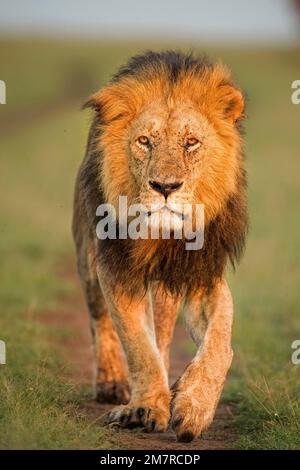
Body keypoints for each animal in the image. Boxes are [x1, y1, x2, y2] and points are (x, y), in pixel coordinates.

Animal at [72, 50, 246, 440]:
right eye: (144, 141)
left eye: (191, 142)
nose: (165, 187)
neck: (163, 237)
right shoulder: (115, 268)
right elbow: (137, 343)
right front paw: (146, 407)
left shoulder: (202, 275)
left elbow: (220, 342)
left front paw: (192, 406)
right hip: (87, 256)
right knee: (99, 317)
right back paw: (112, 383)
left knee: (164, 335)